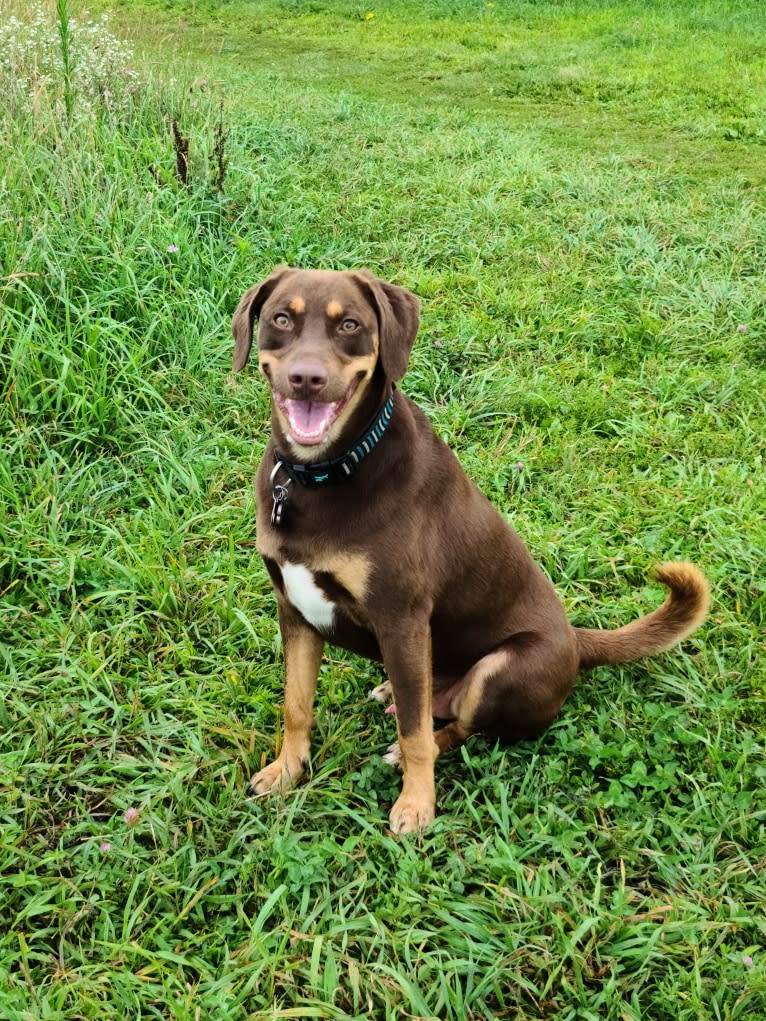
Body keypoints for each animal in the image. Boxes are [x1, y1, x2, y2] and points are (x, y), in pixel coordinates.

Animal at [230, 267, 710, 833]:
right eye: (282, 318)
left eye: (349, 324)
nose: (307, 378)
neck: (324, 474)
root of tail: (575, 641)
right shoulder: (295, 608)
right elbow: (297, 705)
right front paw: (286, 772)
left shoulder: (402, 617)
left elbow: (415, 733)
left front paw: (416, 804)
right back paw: (391, 691)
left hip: (499, 669)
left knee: (457, 726)